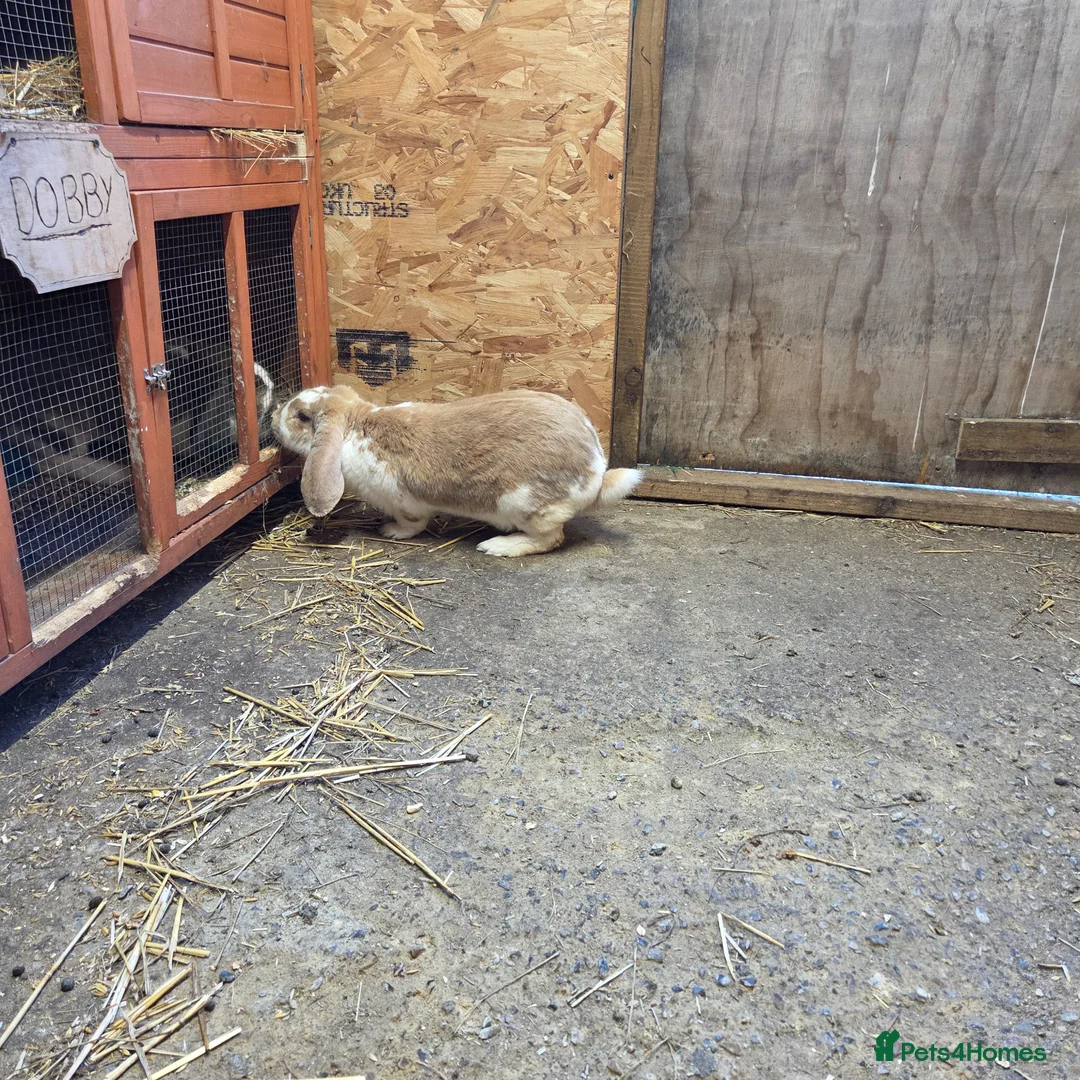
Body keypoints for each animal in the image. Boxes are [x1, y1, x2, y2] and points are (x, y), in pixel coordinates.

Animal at [272, 384, 643, 556]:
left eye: (302, 416)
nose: (274, 419)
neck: (356, 428)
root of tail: (596, 472)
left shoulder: (406, 503)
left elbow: (413, 524)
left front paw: (390, 531)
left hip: (526, 506)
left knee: (549, 539)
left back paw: (498, 546)